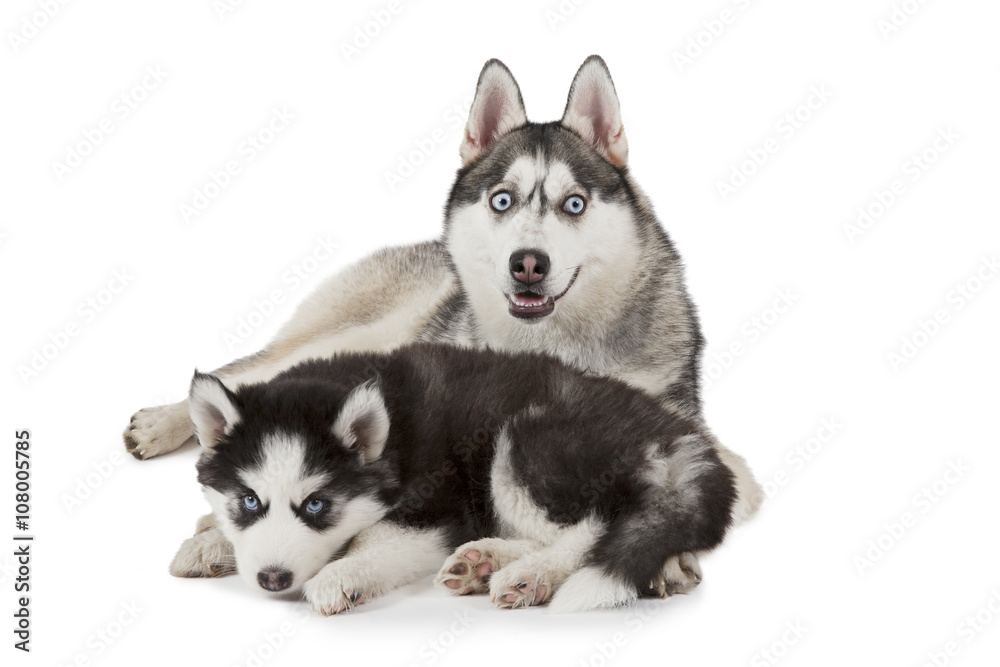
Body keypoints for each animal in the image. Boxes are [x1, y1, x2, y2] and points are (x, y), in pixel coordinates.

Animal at [186, 348, 736, 612]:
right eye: (249, 501)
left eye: (317, 505)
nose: (272, 579)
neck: (394, 438)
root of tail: (681, 434)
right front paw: (208, 541)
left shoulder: (437, 509)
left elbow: (378, 540)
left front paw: (341, 576)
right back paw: (483, 561)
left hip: (526, 441)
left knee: (598, 523)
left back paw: (530, 574)